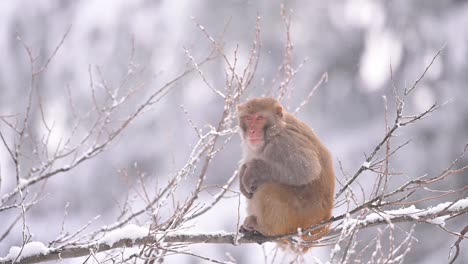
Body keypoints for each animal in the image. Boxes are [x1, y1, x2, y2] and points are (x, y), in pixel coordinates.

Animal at [239, 97, 334, 250]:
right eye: (248, 118)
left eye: (259, 118)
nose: (252, 131)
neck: (276, 129)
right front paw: (243, 172)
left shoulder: (284, 142)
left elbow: (307, 170)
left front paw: (253, 170)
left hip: (297, 218)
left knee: (268, 187)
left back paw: (264, 228)